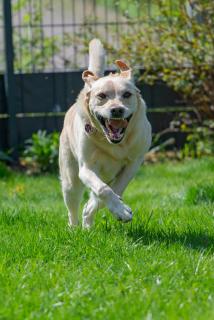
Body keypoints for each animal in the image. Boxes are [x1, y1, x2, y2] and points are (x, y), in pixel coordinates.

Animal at [59, 38, 151, 228]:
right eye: (101, 96)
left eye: (127, 94)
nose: (116, 110)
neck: (113, 143)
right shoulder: (86, 168)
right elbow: (103, 189)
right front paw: (121, 210)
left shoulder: (134, 163)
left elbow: (114, 189)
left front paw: (118, 209)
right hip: (70, 180)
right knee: (72, 207)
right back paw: (74, 228)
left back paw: (88, 224)